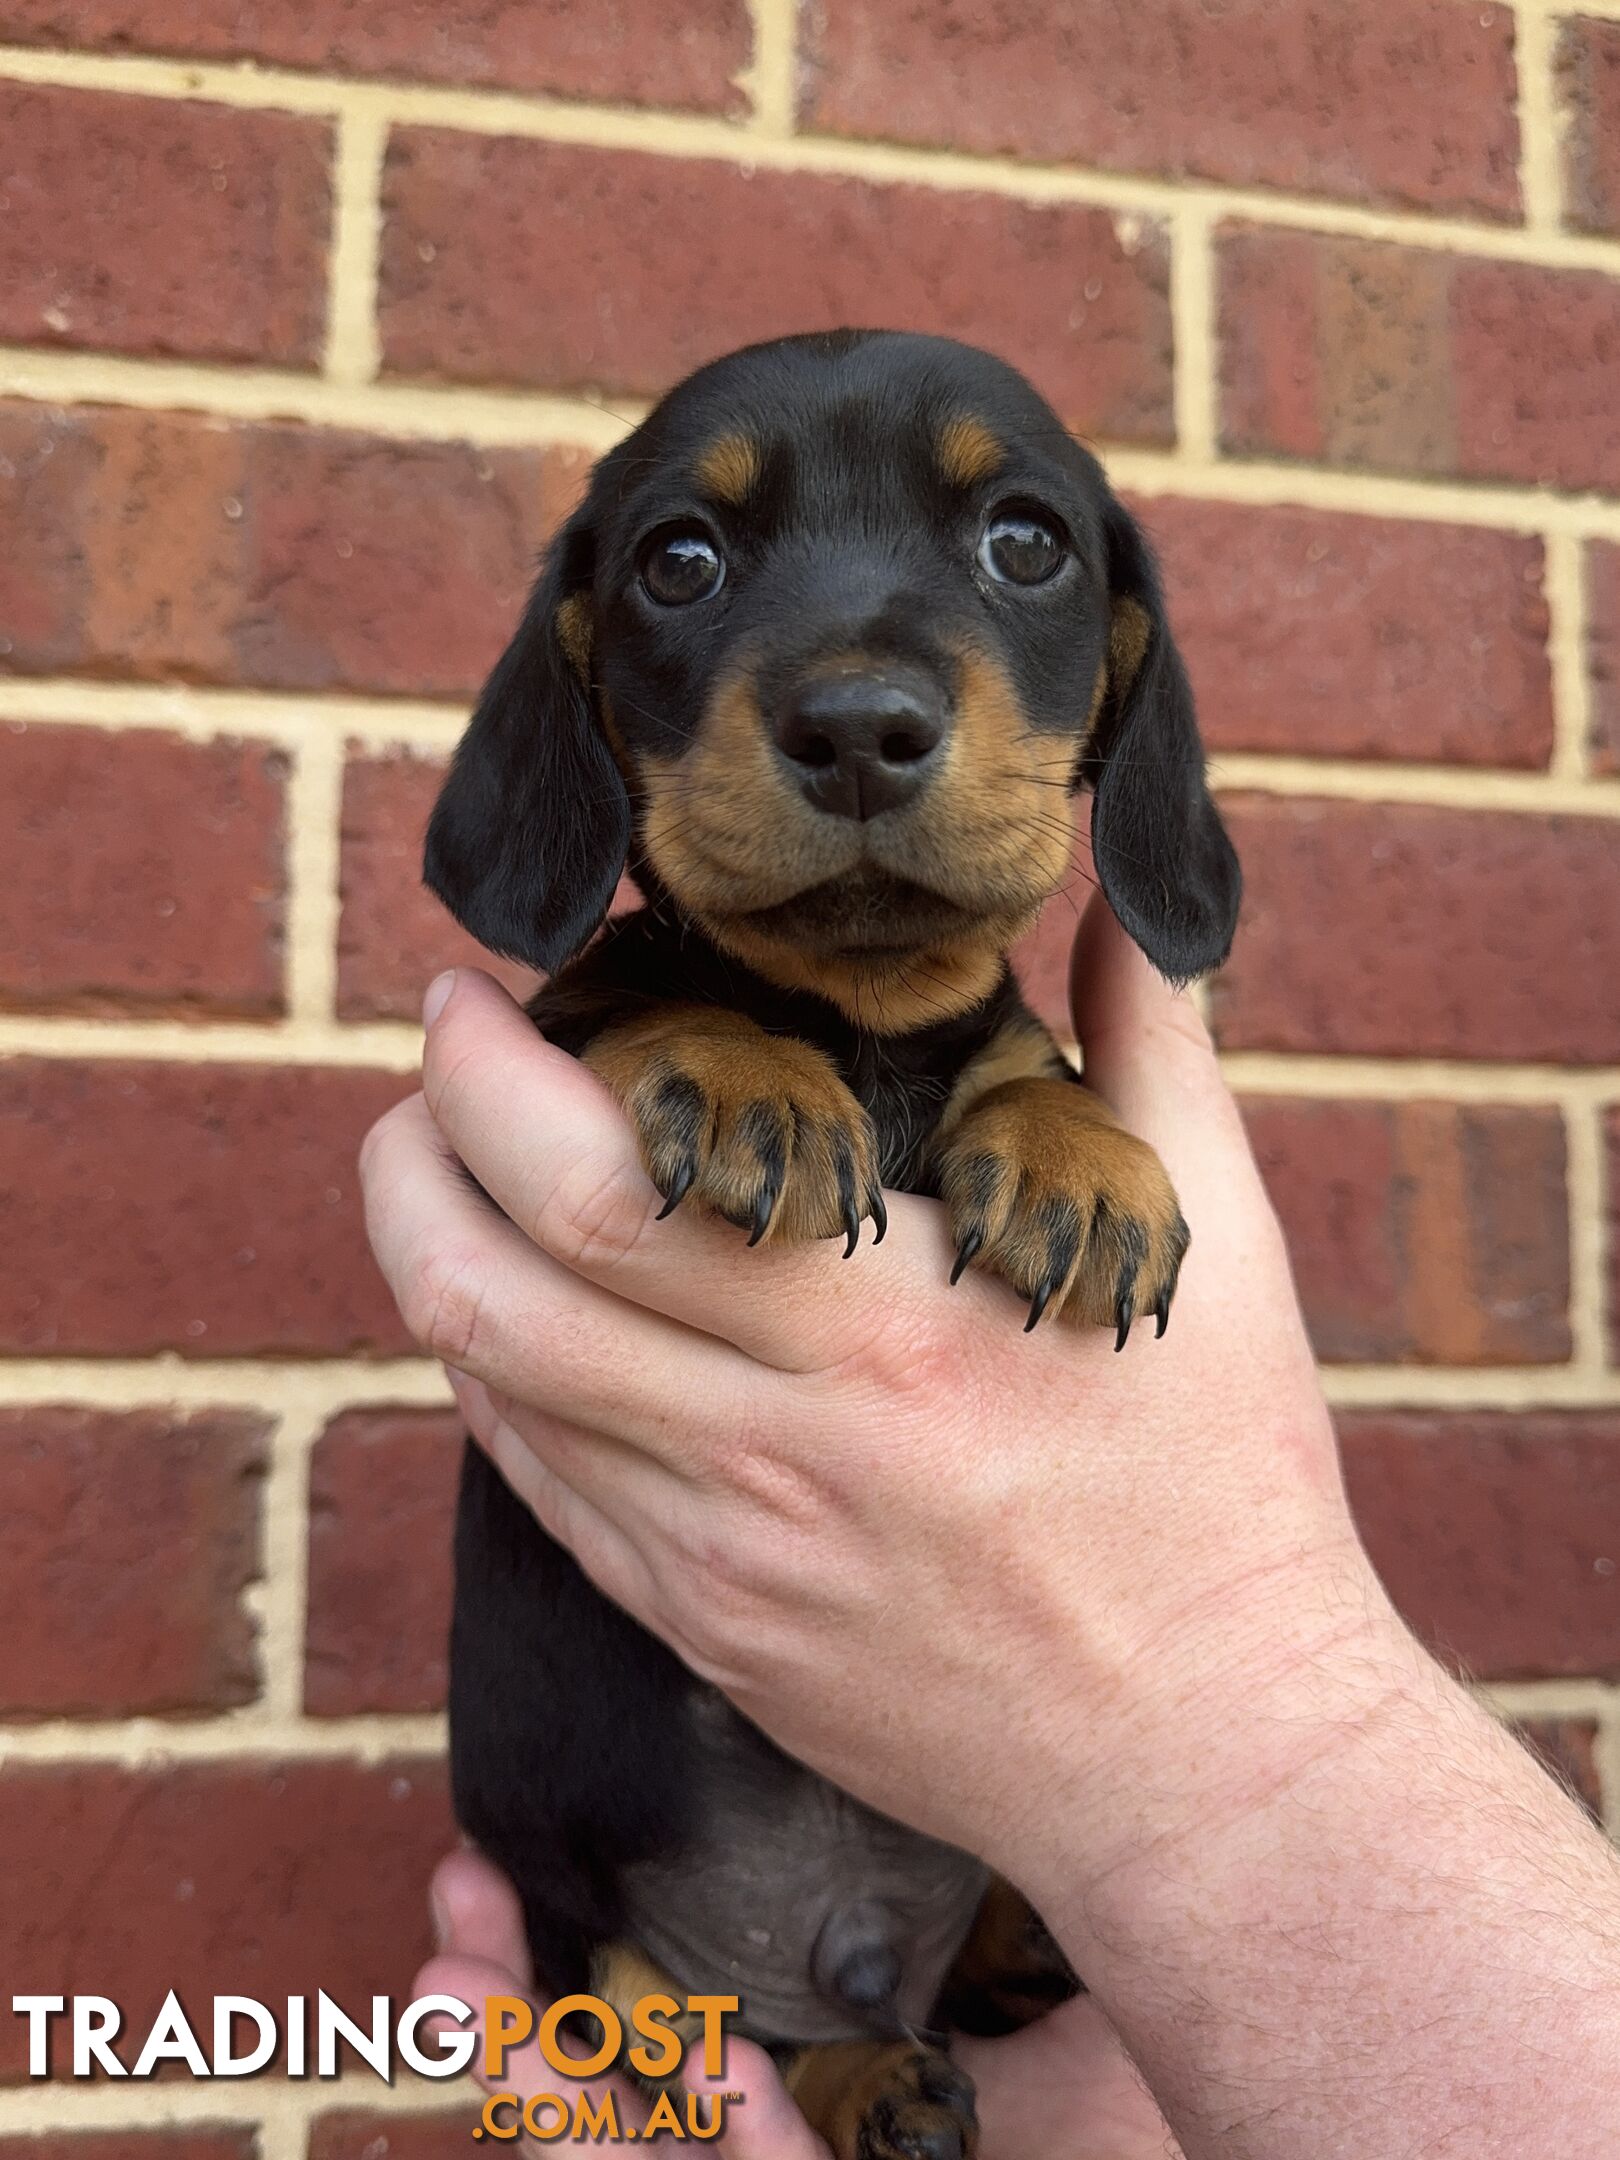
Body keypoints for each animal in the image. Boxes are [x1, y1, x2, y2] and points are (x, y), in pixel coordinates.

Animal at [421, 328, 1244, 2160]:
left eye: (1026, 542)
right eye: (678, 561)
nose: (861, 727)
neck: (859, 1015)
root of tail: (844, 1951)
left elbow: (1022, 1054)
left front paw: (1082, 1168)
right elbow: (642, 990)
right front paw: (744, 1078)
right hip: (586, 1924)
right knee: (699, 2030)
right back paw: (860, 2074)